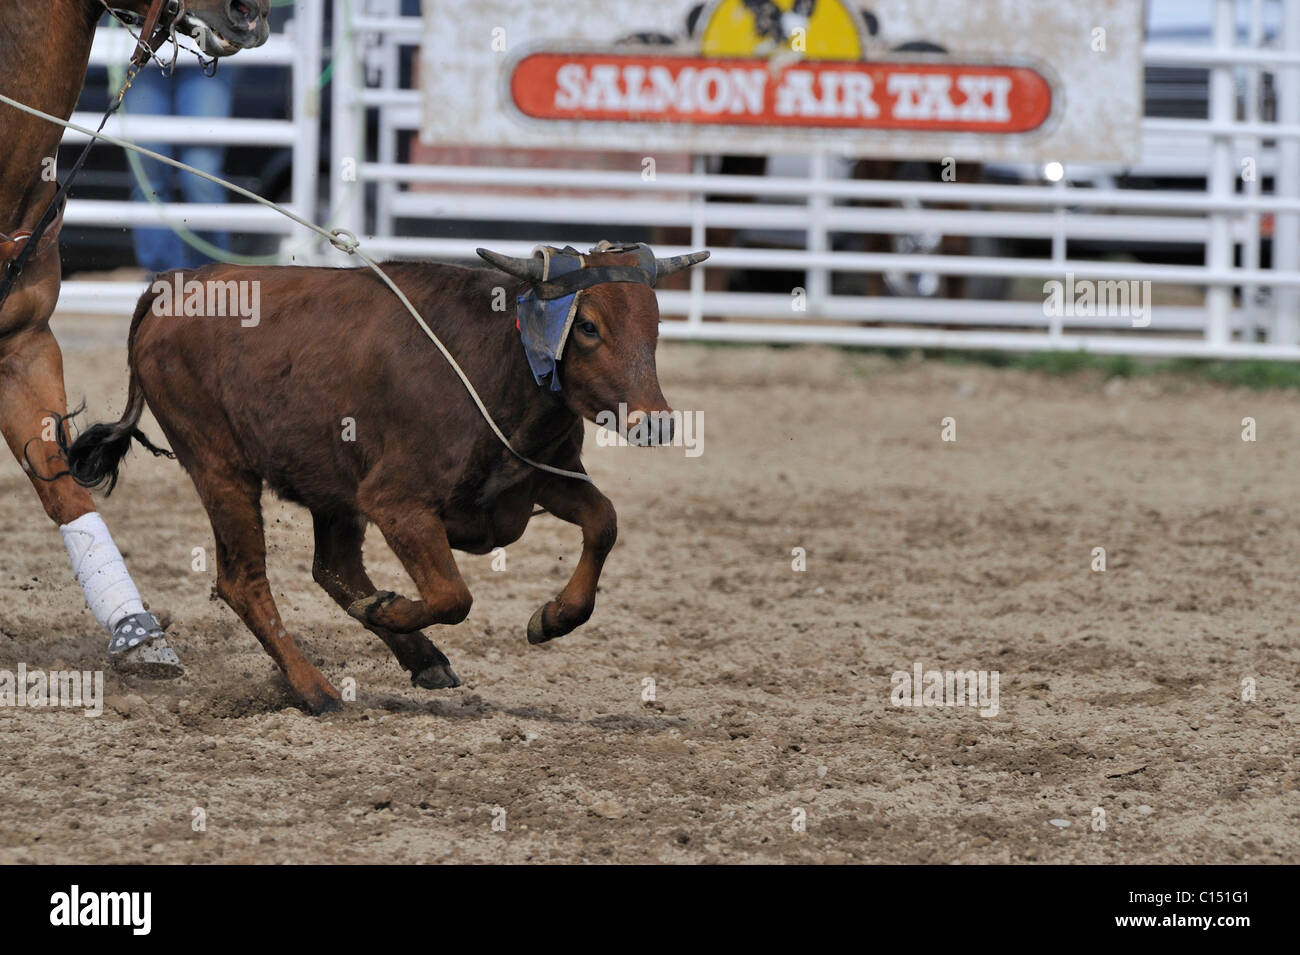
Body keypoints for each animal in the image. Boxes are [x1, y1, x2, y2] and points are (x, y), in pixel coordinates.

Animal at [59, 242, 708, 713]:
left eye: (655, 324)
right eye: (589, 326)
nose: (656, 422)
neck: (493, 363)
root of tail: (177, 284)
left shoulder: (535, 479)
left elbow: (604, 521)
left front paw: (554, 618)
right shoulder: (397, 502)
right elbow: (451, 595)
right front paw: (385, 610)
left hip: (330, 485)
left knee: (334, 569)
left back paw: (420, 658)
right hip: (220, 467)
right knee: (245, 581)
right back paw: (316, 689)